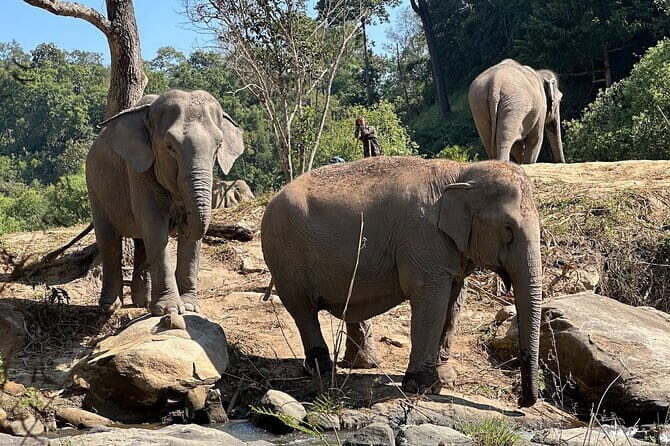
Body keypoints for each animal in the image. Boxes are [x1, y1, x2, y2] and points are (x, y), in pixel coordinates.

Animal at [86, 89, 244, 315]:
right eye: (170, 147)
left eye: (218, 146)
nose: (180, 219)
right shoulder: (138, 172)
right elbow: (154, 225)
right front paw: (169, 310)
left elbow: (187, 238)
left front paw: (190, 307)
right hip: (95, 187)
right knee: (109, 239)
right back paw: (110, 306)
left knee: (141, 241)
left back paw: (143, 302)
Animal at [261, 156, 542, 407]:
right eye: (508, 231)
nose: (522, 401)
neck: (460, 172)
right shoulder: (422, 239)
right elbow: (431, 298)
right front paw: (424, 387)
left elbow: (453, 302)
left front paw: (446, 380)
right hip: (284, 257)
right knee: (303, 310)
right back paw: (322, 369)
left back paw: (365, 364)